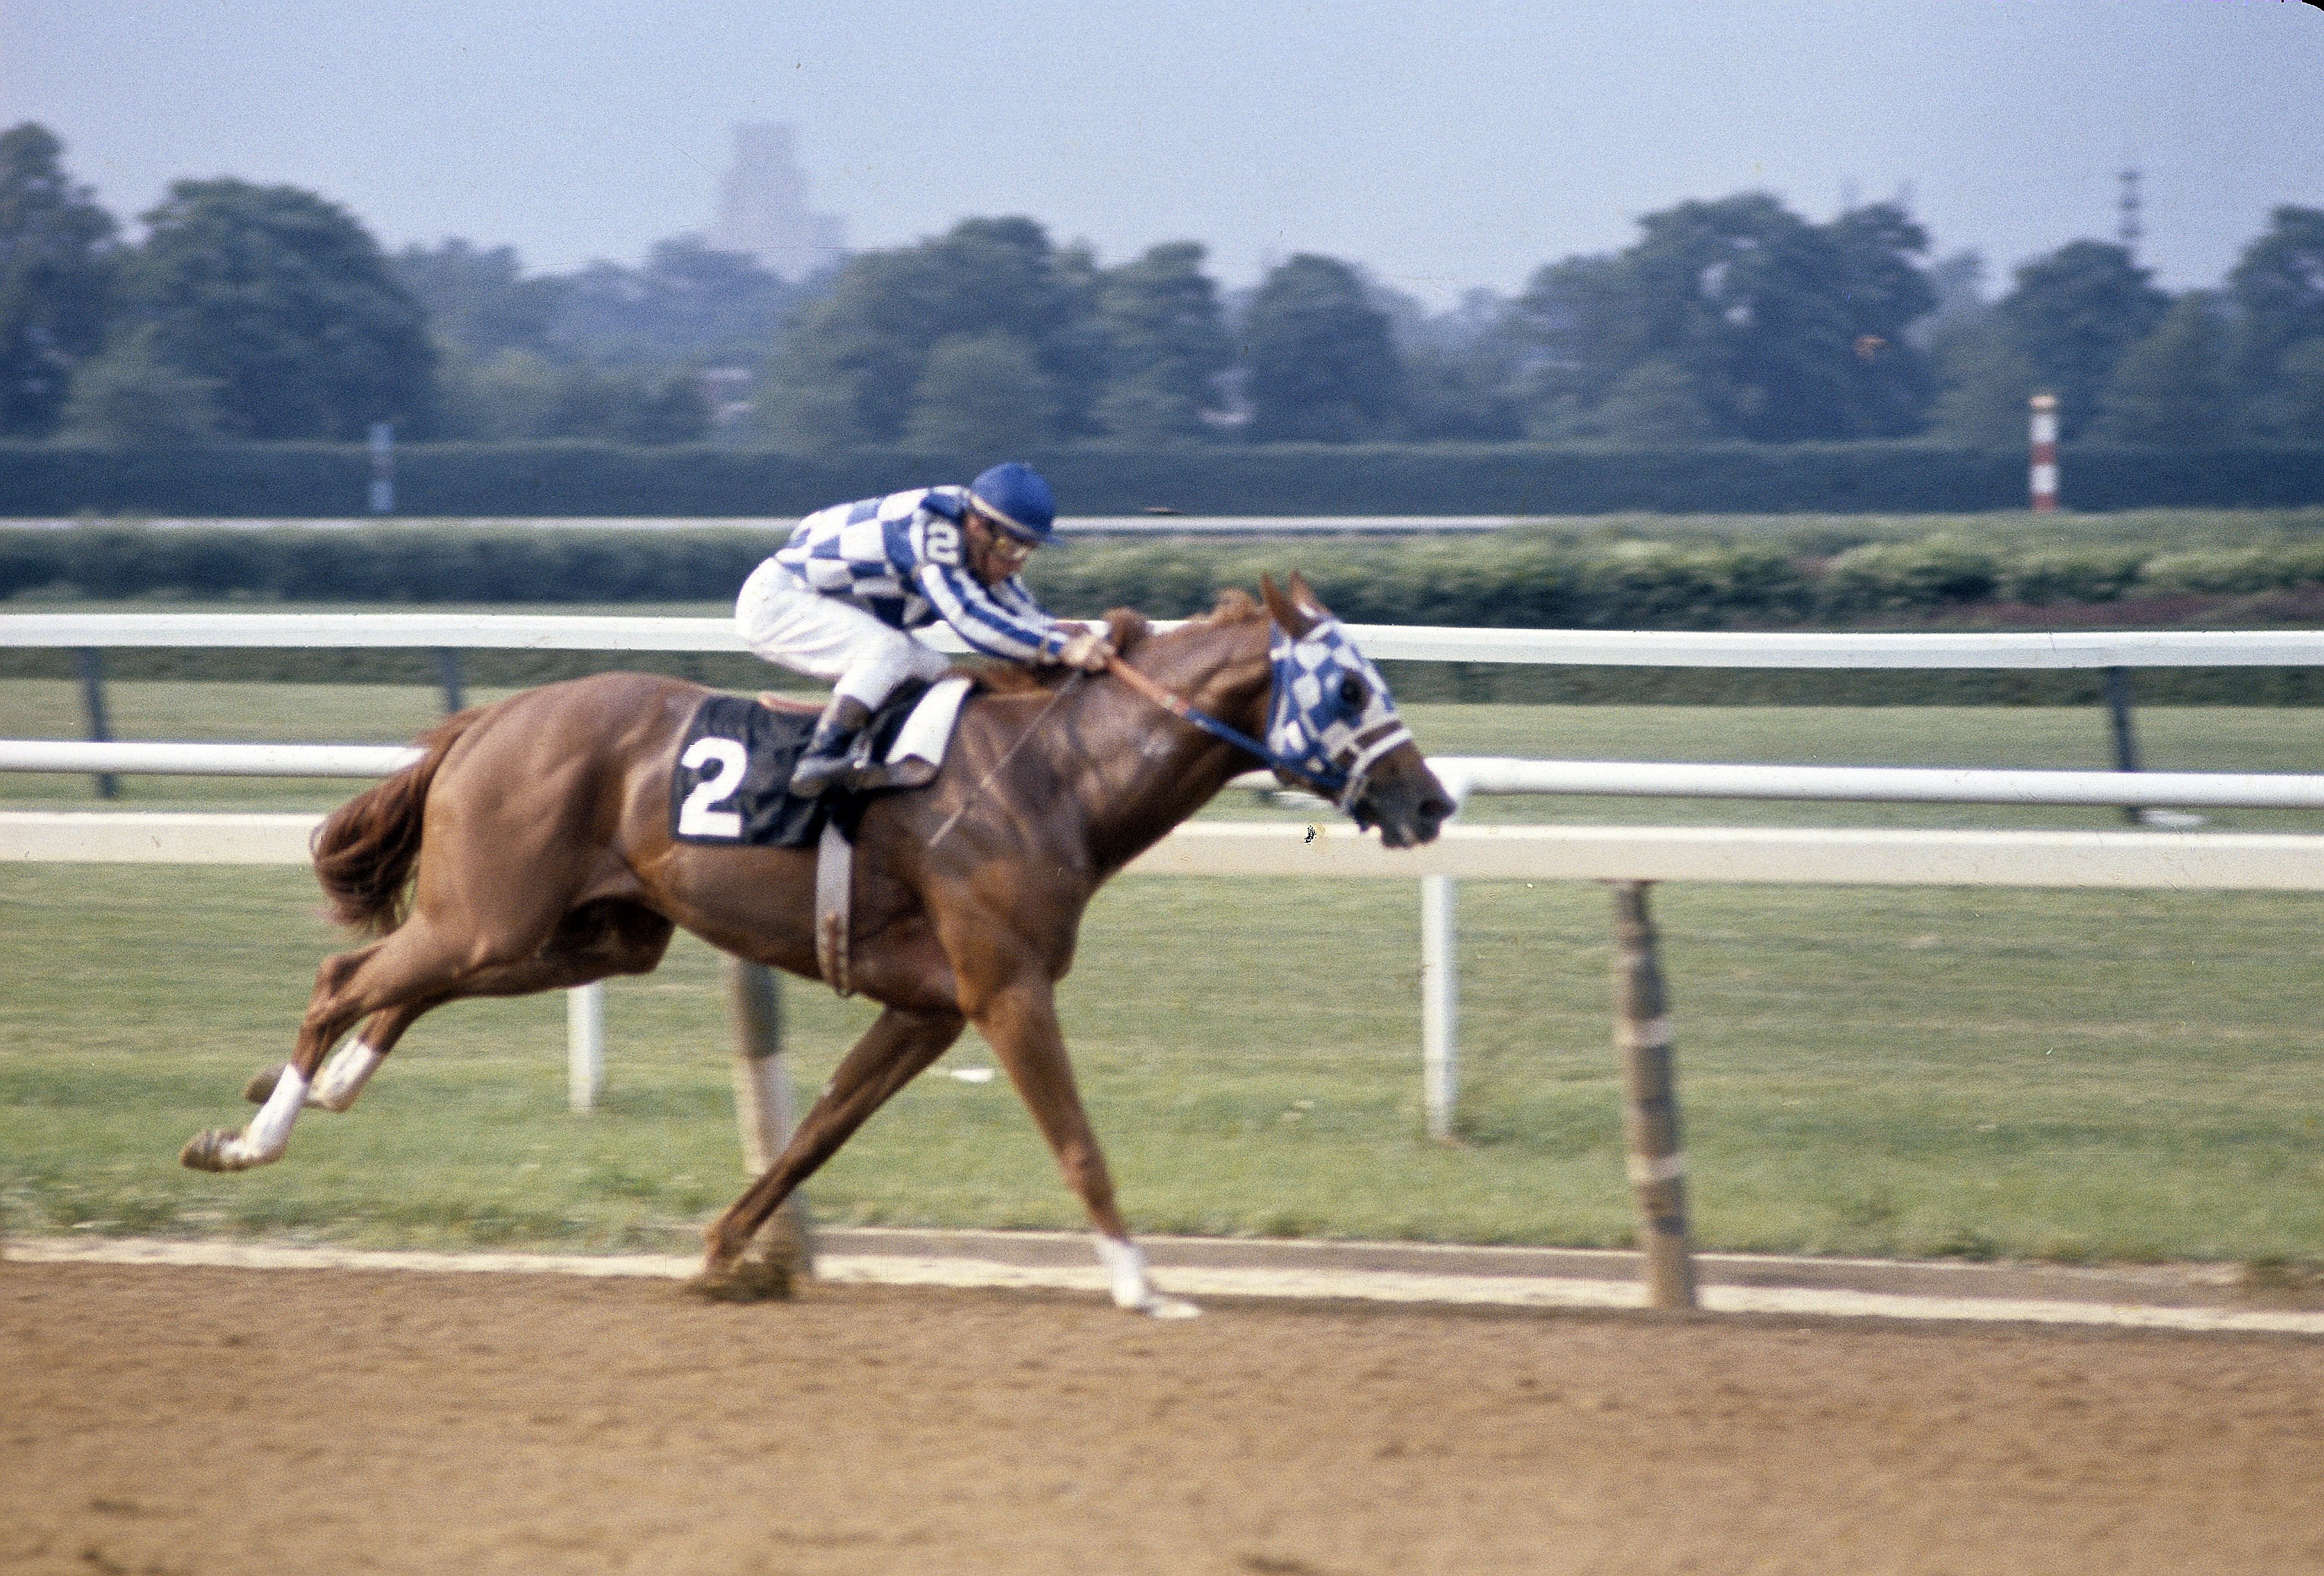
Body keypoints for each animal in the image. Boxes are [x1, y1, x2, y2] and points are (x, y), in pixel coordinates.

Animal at [181, 574, 1441, 1311]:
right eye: (1347, 685)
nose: (1429, 801)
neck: (1053, 773)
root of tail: (490, 715)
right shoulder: (1005, 988)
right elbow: (1077, 1141)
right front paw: (1143, 1286)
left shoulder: (930, 1007)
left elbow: (815, 1135)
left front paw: (723, 1252)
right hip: (495, 914)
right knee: (345, 974)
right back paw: (248, 1139)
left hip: (577, 934)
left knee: (397, 986)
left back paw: (330, 1084)